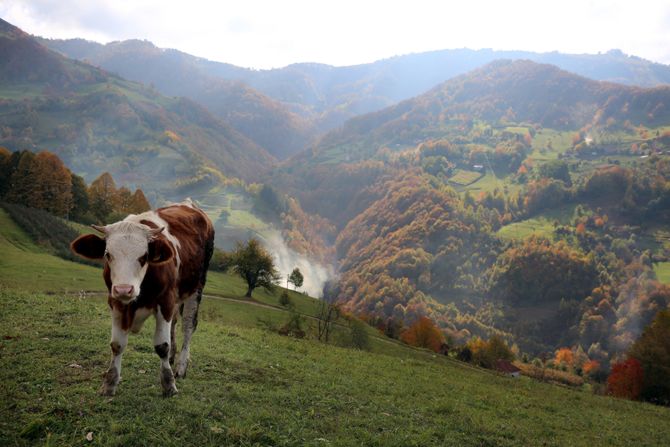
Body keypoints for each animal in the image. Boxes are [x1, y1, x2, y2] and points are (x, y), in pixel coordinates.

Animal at [71, 201, 214, 398]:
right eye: (107, 254)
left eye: (144, 256)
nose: (124, 289)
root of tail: (188, 204)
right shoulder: (115, 301)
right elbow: (117, 344)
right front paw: (109, 383)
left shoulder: (165, 300)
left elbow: (162, 345)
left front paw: (169, 384)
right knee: (174, 322)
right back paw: (172, 358)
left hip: (196, 287)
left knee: (188, 325)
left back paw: (181, 367)